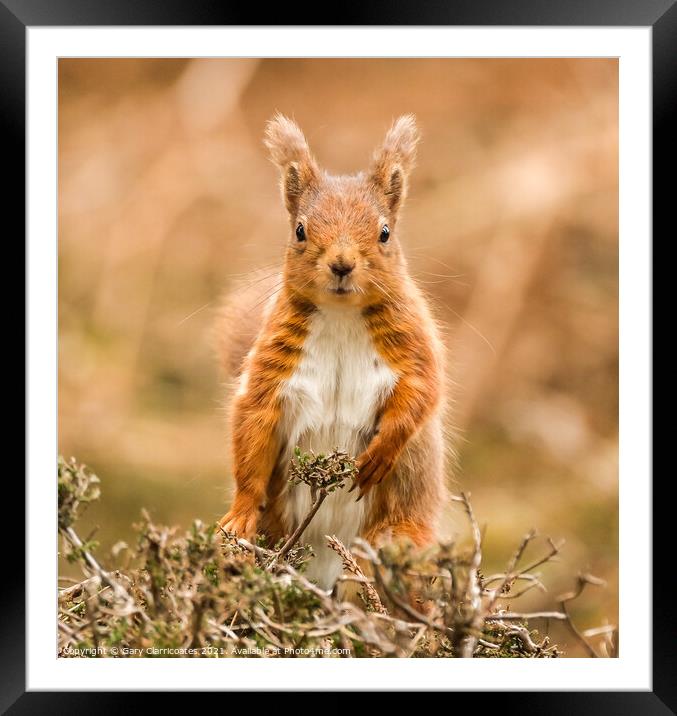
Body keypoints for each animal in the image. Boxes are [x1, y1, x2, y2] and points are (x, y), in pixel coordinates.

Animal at [218, 116, 448, 588]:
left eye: (385, 233)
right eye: (300, 230)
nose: (342, 264)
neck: (342, 316)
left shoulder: (415, 347)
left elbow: (421, 392)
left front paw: (379, 454)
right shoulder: (272, 369)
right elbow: (252, 428)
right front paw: (241, 512)